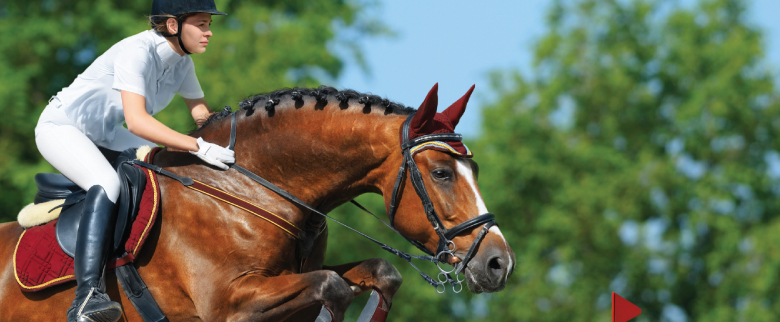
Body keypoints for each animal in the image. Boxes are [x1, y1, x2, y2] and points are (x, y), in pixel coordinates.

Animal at [0, 84, 516, 320]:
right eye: (442, 173)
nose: (499, 264)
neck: (249, 189)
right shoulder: (228, 303)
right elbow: (332, 286)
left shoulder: (289, 276)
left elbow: (376, 274)